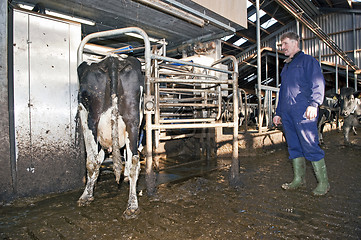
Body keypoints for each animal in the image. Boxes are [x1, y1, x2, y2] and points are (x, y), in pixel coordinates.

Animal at [76, 54, 143, 219]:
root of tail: (112, 59)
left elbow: (94, 161)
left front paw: (88, 194)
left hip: (91, 121)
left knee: (91, 161)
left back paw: (85, 196)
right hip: (133, 121)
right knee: (134, 161)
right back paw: (132, 206)